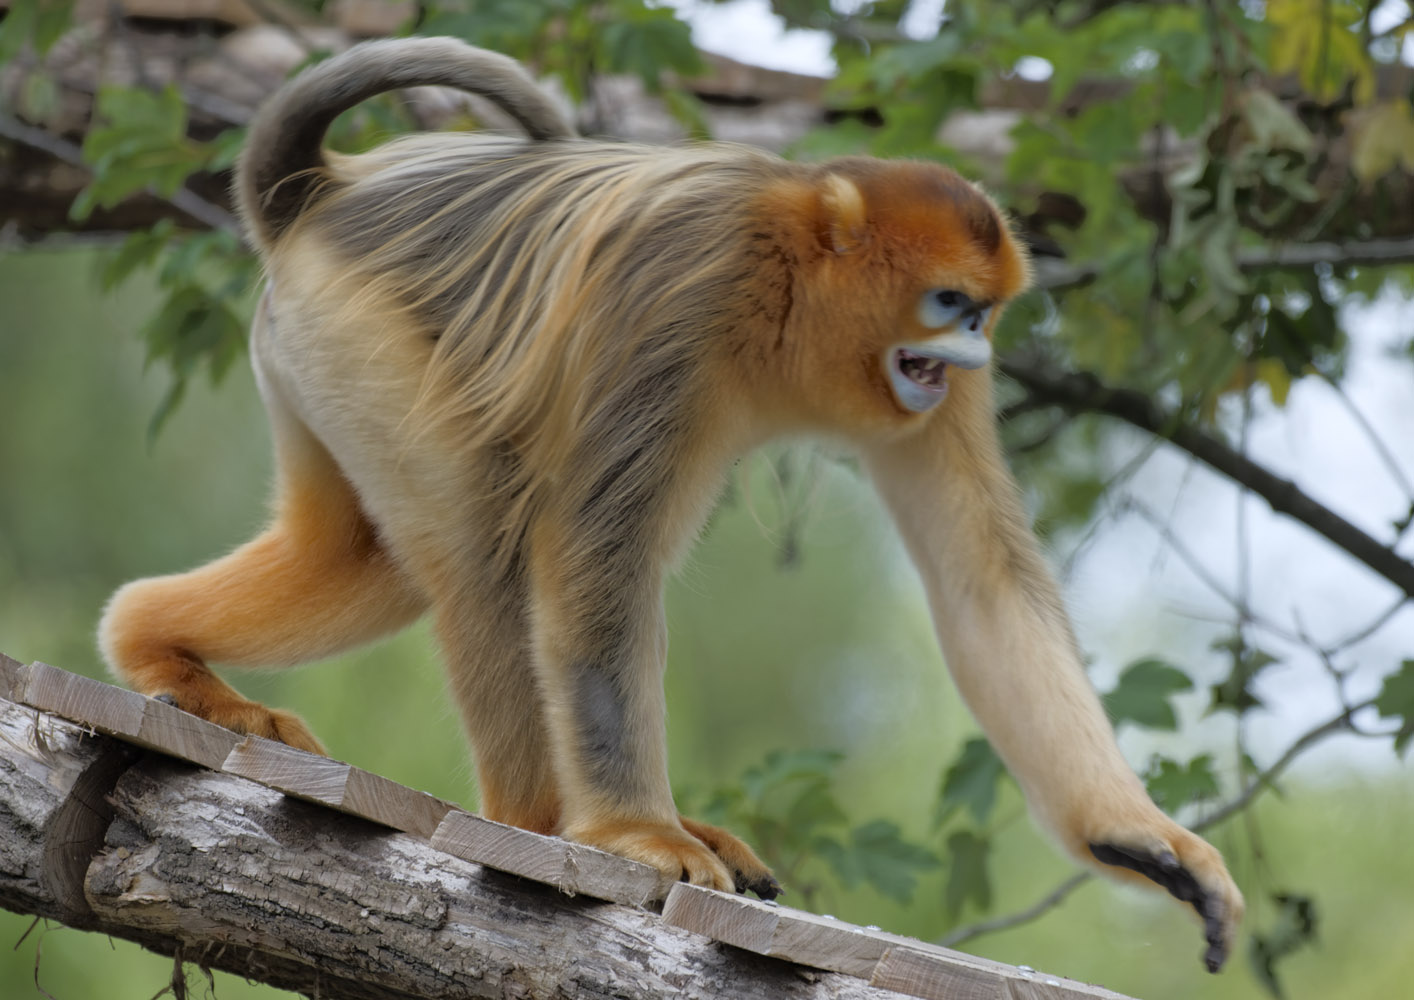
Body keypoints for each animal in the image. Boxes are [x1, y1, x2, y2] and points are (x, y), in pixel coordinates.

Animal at [97, 37, 1242, 971]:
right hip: (357, 332)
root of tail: (317, 192)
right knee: (485, 547)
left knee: (368, 558)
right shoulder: (686, 288)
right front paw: (637, 836)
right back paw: (547, 824)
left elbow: (985, 584)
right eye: (950, 302)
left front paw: (1137, 838)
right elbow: (591, 550)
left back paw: (155, 645)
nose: (970, 350)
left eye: (983, 316)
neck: (786, 276)